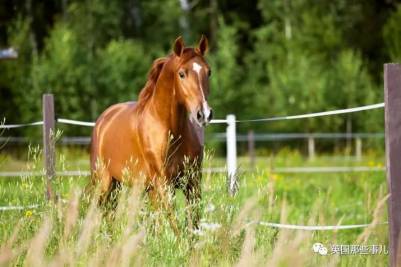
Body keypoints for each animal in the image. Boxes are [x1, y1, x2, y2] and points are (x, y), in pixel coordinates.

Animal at [90, 35, 212, 232]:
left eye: (208, 72)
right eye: (182, 74)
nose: (204, 113)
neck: (171, 130)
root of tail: (103, 120)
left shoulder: (192, 183)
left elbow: (193, 224)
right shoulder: (164, 184)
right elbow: (175, 225)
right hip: (104, 182)